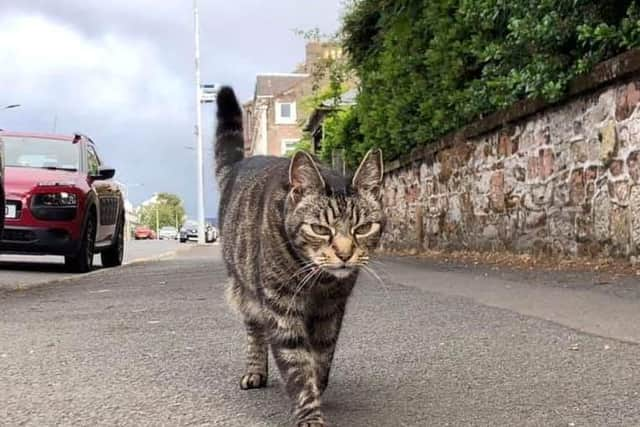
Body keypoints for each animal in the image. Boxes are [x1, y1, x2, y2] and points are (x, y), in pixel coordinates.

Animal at [215, 85, 384, 426]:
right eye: (320, 228)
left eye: (363, 228)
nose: (345, 254)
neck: (319, 282)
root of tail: (241, 165)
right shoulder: (281, 306)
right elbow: (297, 365)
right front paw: (309, 413)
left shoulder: (331, 309)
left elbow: (321, 357)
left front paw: (318, 385)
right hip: (244, 288)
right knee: (254, 330)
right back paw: (255, 370)